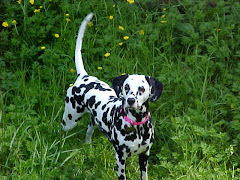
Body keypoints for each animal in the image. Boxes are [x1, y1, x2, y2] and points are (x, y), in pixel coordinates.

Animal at [62, 13, 163, 180]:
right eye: (126, 87)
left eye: (141, 89)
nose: (130, 100)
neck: (136, 125)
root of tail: (83, 77)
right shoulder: (120, 159)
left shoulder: (144, 156)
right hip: (69, 120)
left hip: (94, 122)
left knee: (88, 130)